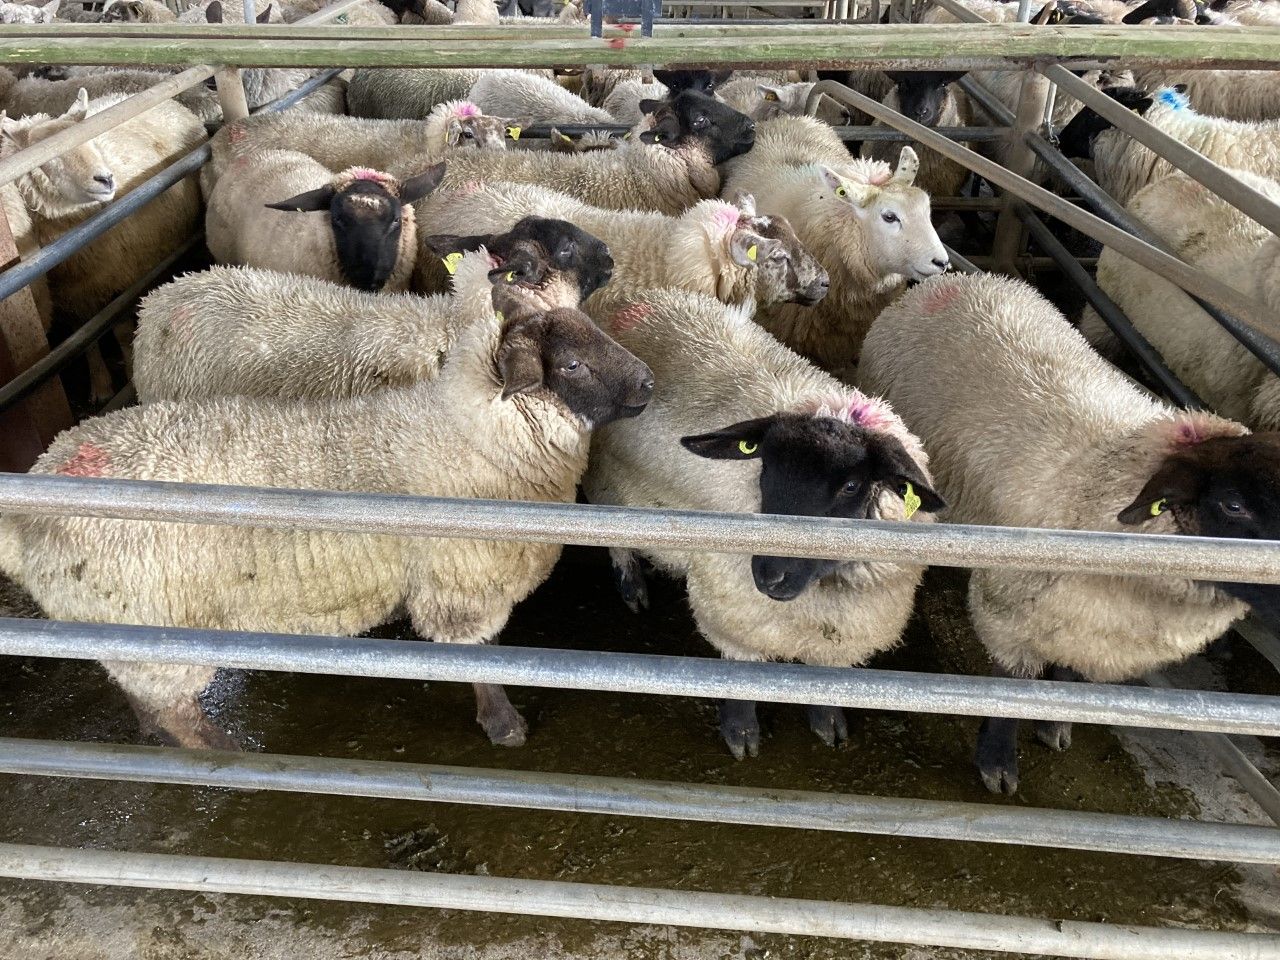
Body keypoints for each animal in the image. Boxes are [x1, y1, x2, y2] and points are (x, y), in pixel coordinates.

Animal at [1, 271, 654, 750]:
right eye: (570, 365)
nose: (649, 382)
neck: (464, 431)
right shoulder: (460, 583)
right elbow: (480, 657)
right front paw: (504, 725)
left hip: (123, 632)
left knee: (145, 695)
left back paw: (149, 732)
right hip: (153, 626)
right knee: (180, 712)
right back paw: (225, 755)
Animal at [583, 288, 944, 758]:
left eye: (850, 486)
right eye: (765, 466)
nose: (771, 576)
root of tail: (622, 292)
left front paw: (827, 722)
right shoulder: (732, 610)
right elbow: (741, 677)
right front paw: (741, 733)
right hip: (608, 485)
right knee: (616, 540)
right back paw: (632, 585)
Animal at [859, 271, 1280, 795]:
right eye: (1232, 504)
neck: (1098, 482)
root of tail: (960, 278)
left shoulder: (1089, 625)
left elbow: (1067, 681)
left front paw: (1056, 722)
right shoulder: (1007, 608)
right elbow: (1010, 687)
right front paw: (998, 761)